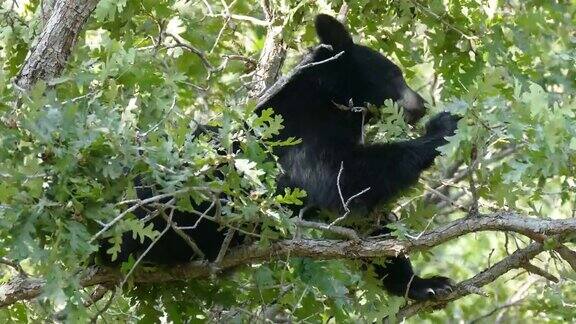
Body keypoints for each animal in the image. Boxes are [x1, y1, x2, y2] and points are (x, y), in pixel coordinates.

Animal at [104, 13, 460, 302]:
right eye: (396, 74)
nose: (421, 105)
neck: (329, 98)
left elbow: (358, 222)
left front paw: (426, 284)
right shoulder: (301, 135)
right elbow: (338, 178)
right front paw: (442, 128)